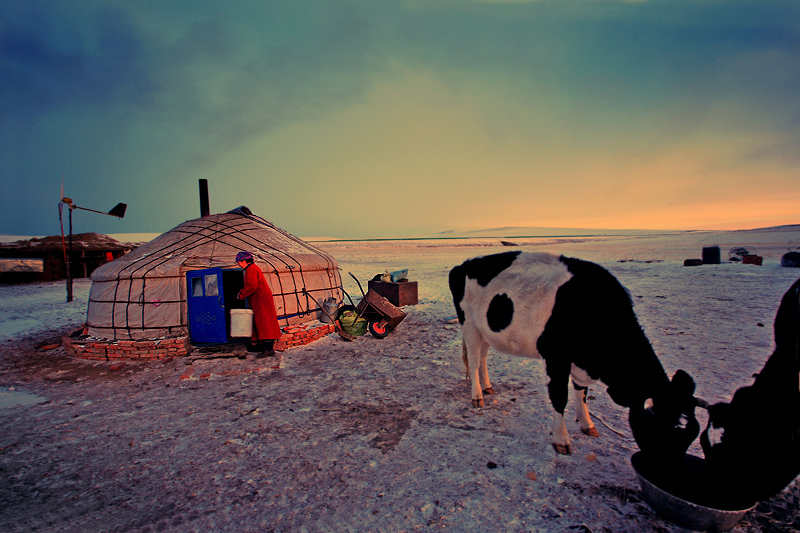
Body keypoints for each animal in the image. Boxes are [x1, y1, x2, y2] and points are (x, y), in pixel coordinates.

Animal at [450, 251, 700, 456]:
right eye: (659, 431)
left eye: (691, 436)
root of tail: (463, 265)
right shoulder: (556, 357)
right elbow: (560, 396)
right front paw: (561, 440)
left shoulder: (579, 363)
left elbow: (582, 392)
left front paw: (587, 424)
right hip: (469, 323)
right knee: (474, 360)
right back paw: (477, 396)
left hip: (485, 330)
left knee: (483, 358)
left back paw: (487, 387)